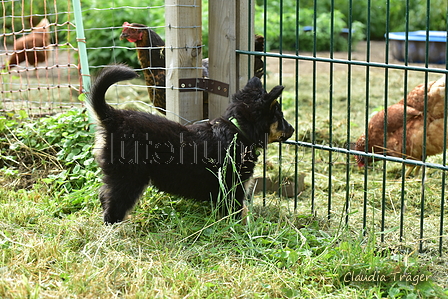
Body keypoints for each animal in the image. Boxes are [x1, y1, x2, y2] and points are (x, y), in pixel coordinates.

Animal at [89, 65, 296, 225]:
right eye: (279, 116)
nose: (293, 129)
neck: (238, 130)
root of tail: (114, 118)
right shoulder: (233, 186)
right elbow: (236, 210)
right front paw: (238, 227)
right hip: (129, 177)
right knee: (114, 206)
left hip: (116, 175)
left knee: (104, 195)